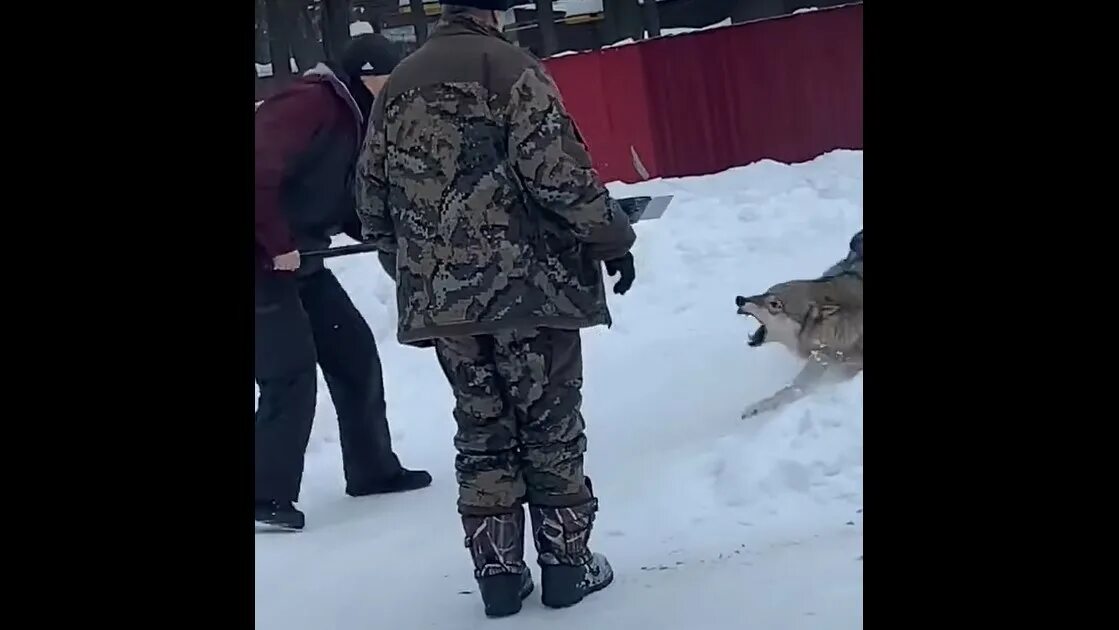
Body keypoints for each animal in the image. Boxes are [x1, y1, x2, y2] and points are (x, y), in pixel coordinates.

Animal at [734, 231, 863, 418]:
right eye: (765, 292)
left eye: (775, 304)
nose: (740, 299)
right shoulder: (819, 363)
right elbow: (790, 391)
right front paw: (754, 408)